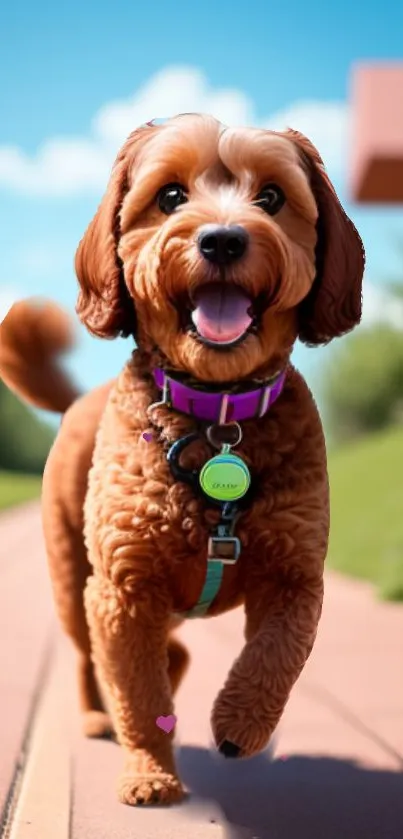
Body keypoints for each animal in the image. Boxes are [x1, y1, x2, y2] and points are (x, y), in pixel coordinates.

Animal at [0, 113, 366, 808]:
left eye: (271, 197)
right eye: (170, 196)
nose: (222, 240)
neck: (217, 417)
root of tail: (76, 400)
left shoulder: (296, 575)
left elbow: (276, 657)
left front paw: (239, 725)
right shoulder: (122, 588)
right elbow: (138, 692)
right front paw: (149, 773)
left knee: (172, 658)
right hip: (72, 580)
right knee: (93, 658)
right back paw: (98, 715)